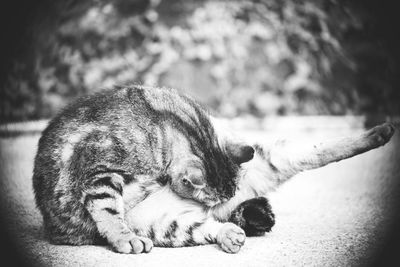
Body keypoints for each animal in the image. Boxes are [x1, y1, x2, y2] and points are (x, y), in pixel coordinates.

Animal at [32, 85, 396, 254]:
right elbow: (108, 210)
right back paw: (229, 232)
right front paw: (124, 239)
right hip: (160, 224)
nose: (216, 204)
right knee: (199, 228)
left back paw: (380, 132)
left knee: (317, 150)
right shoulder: (98, 168)